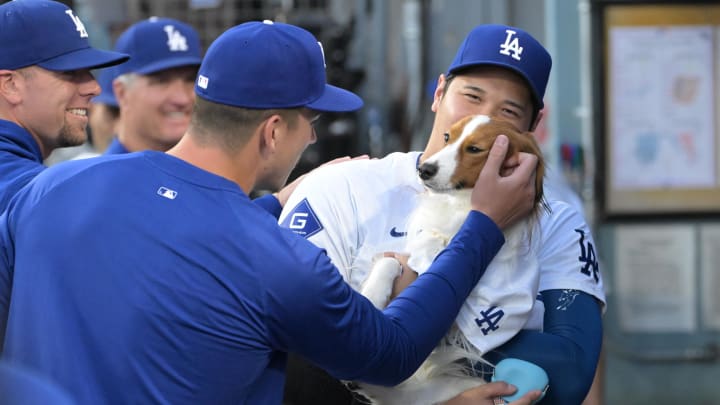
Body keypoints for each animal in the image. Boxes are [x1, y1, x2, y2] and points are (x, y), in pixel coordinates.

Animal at [354, 113, 544, 404]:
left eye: (475, 149)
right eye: (447, 137)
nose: (425, 169)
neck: (460, 208)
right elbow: (391, 261)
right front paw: (373, 294)